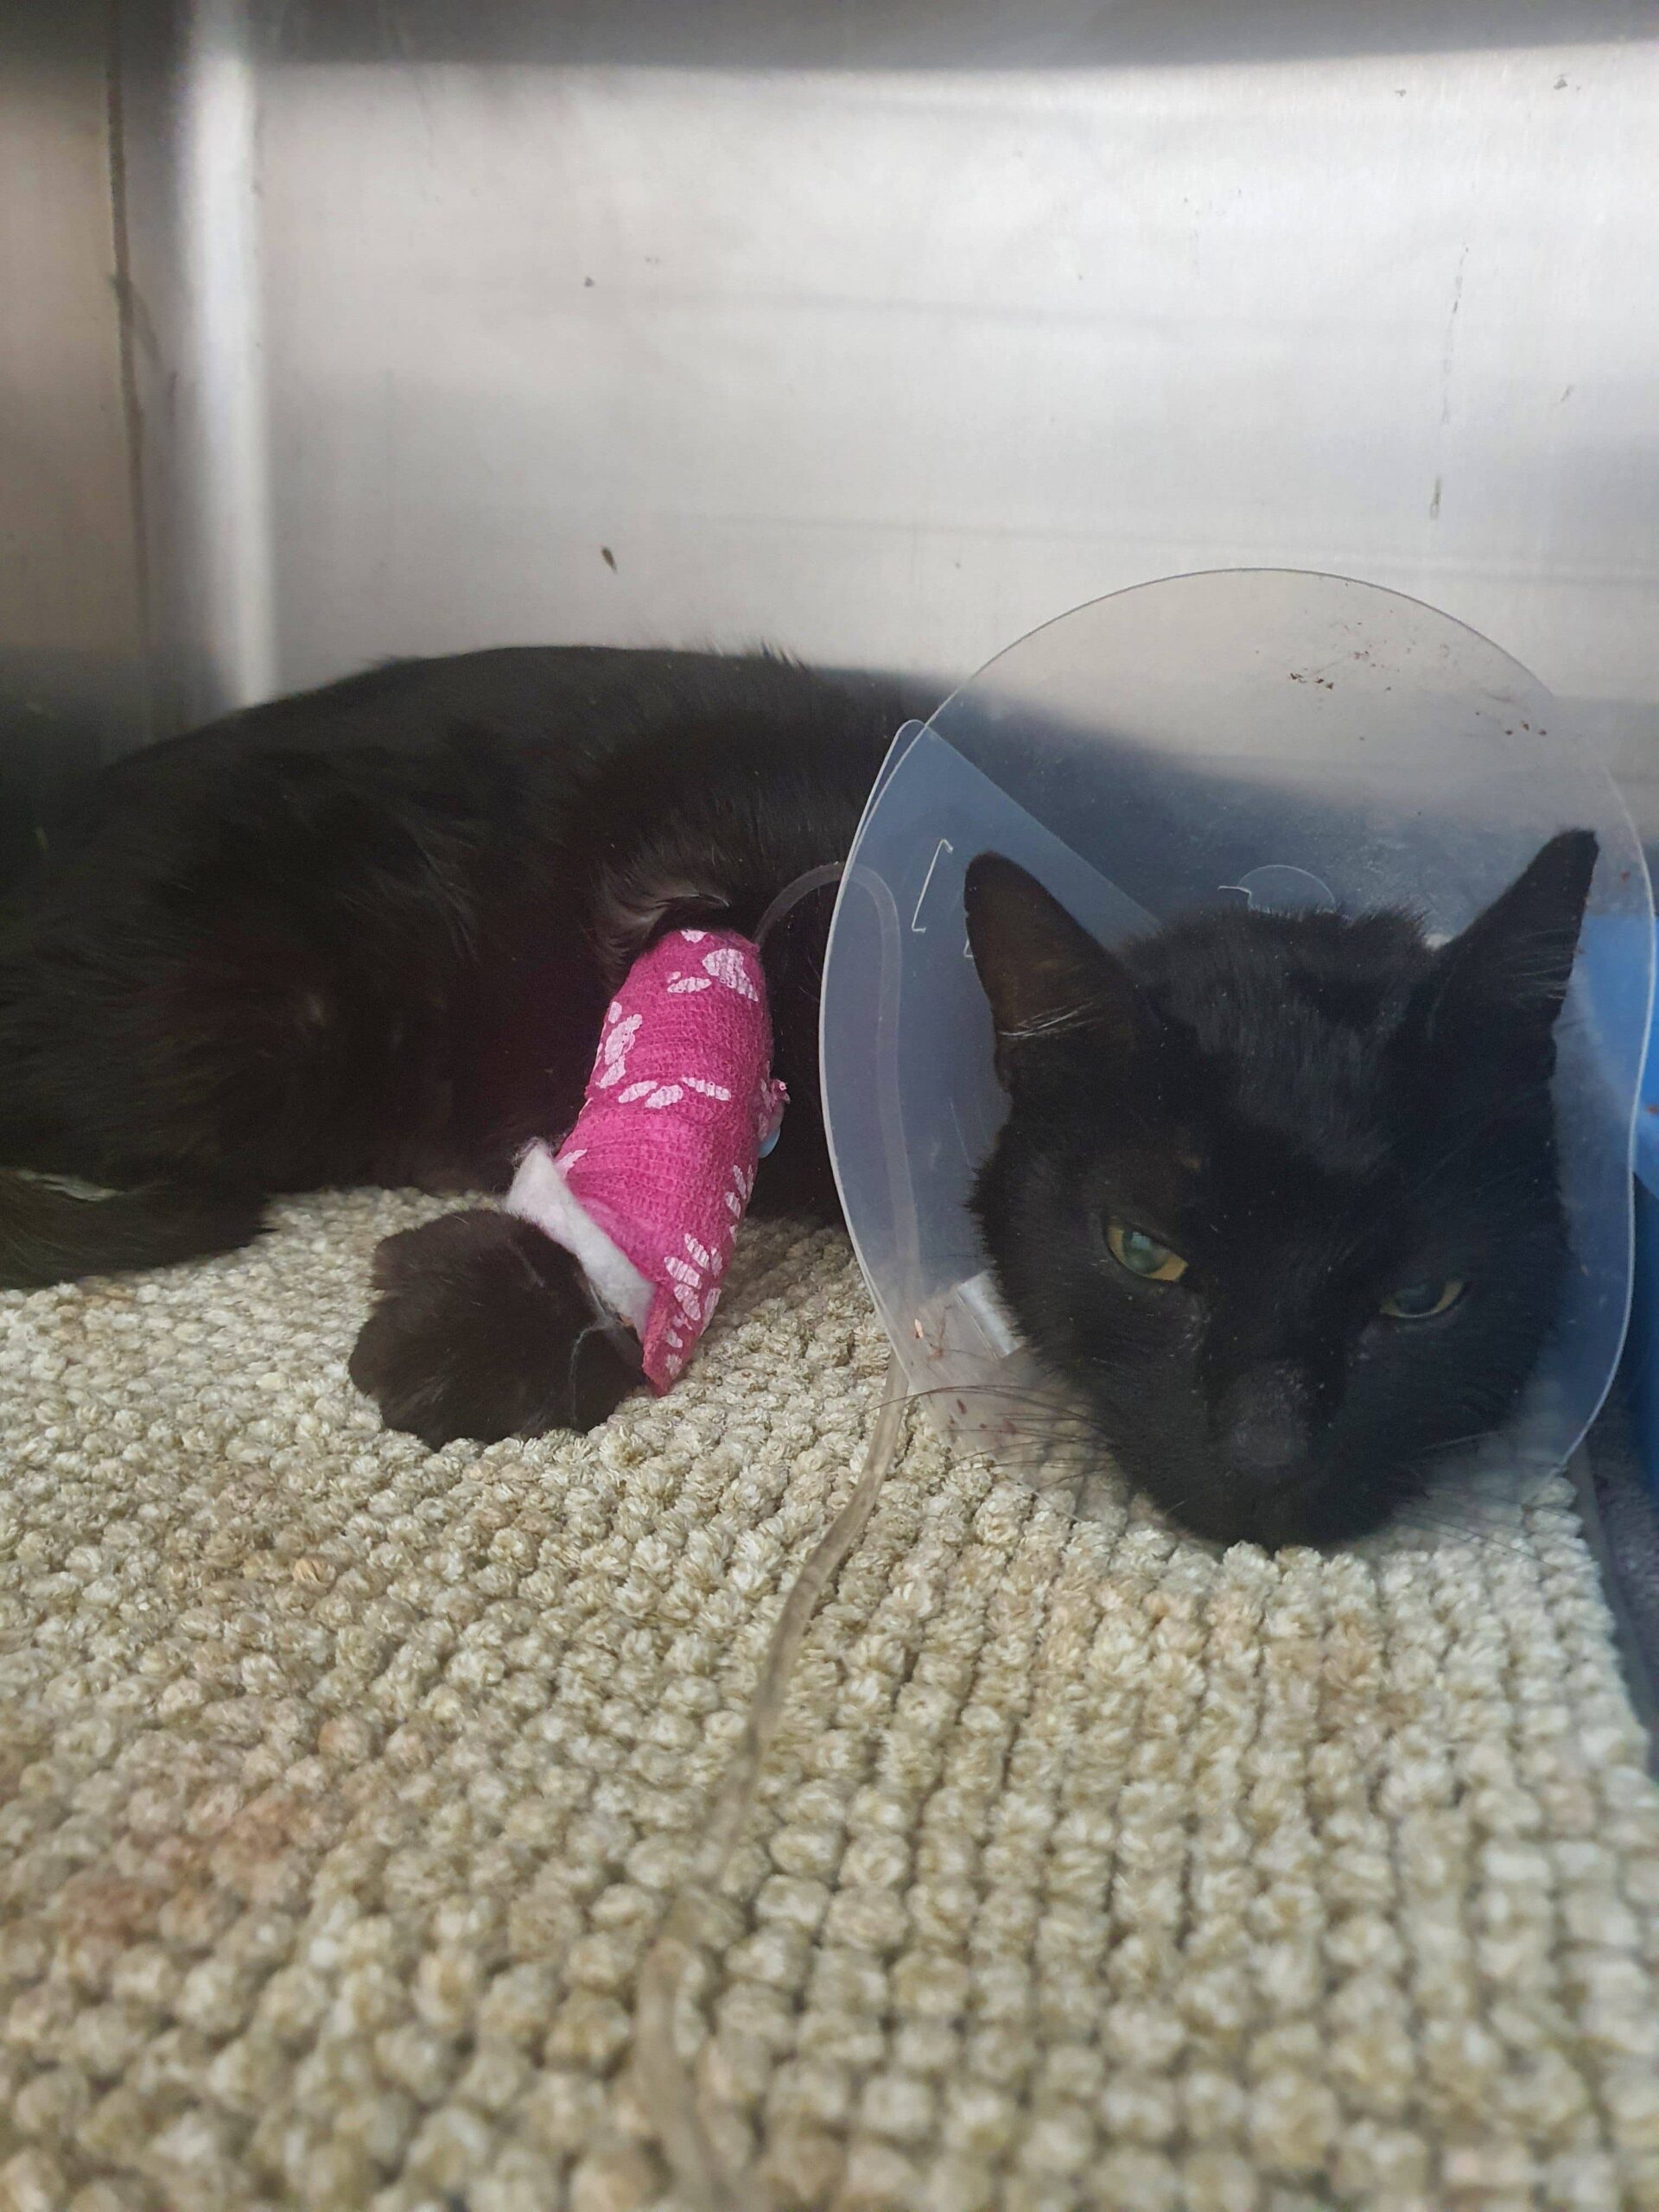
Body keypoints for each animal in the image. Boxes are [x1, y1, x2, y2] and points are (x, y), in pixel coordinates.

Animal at [0, 645, 1595, 1547]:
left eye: (1423, 1300)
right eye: (1147, 1252)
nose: (1270, 1456)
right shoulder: (693, 890)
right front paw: (490, 1319)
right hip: (246, 1030)